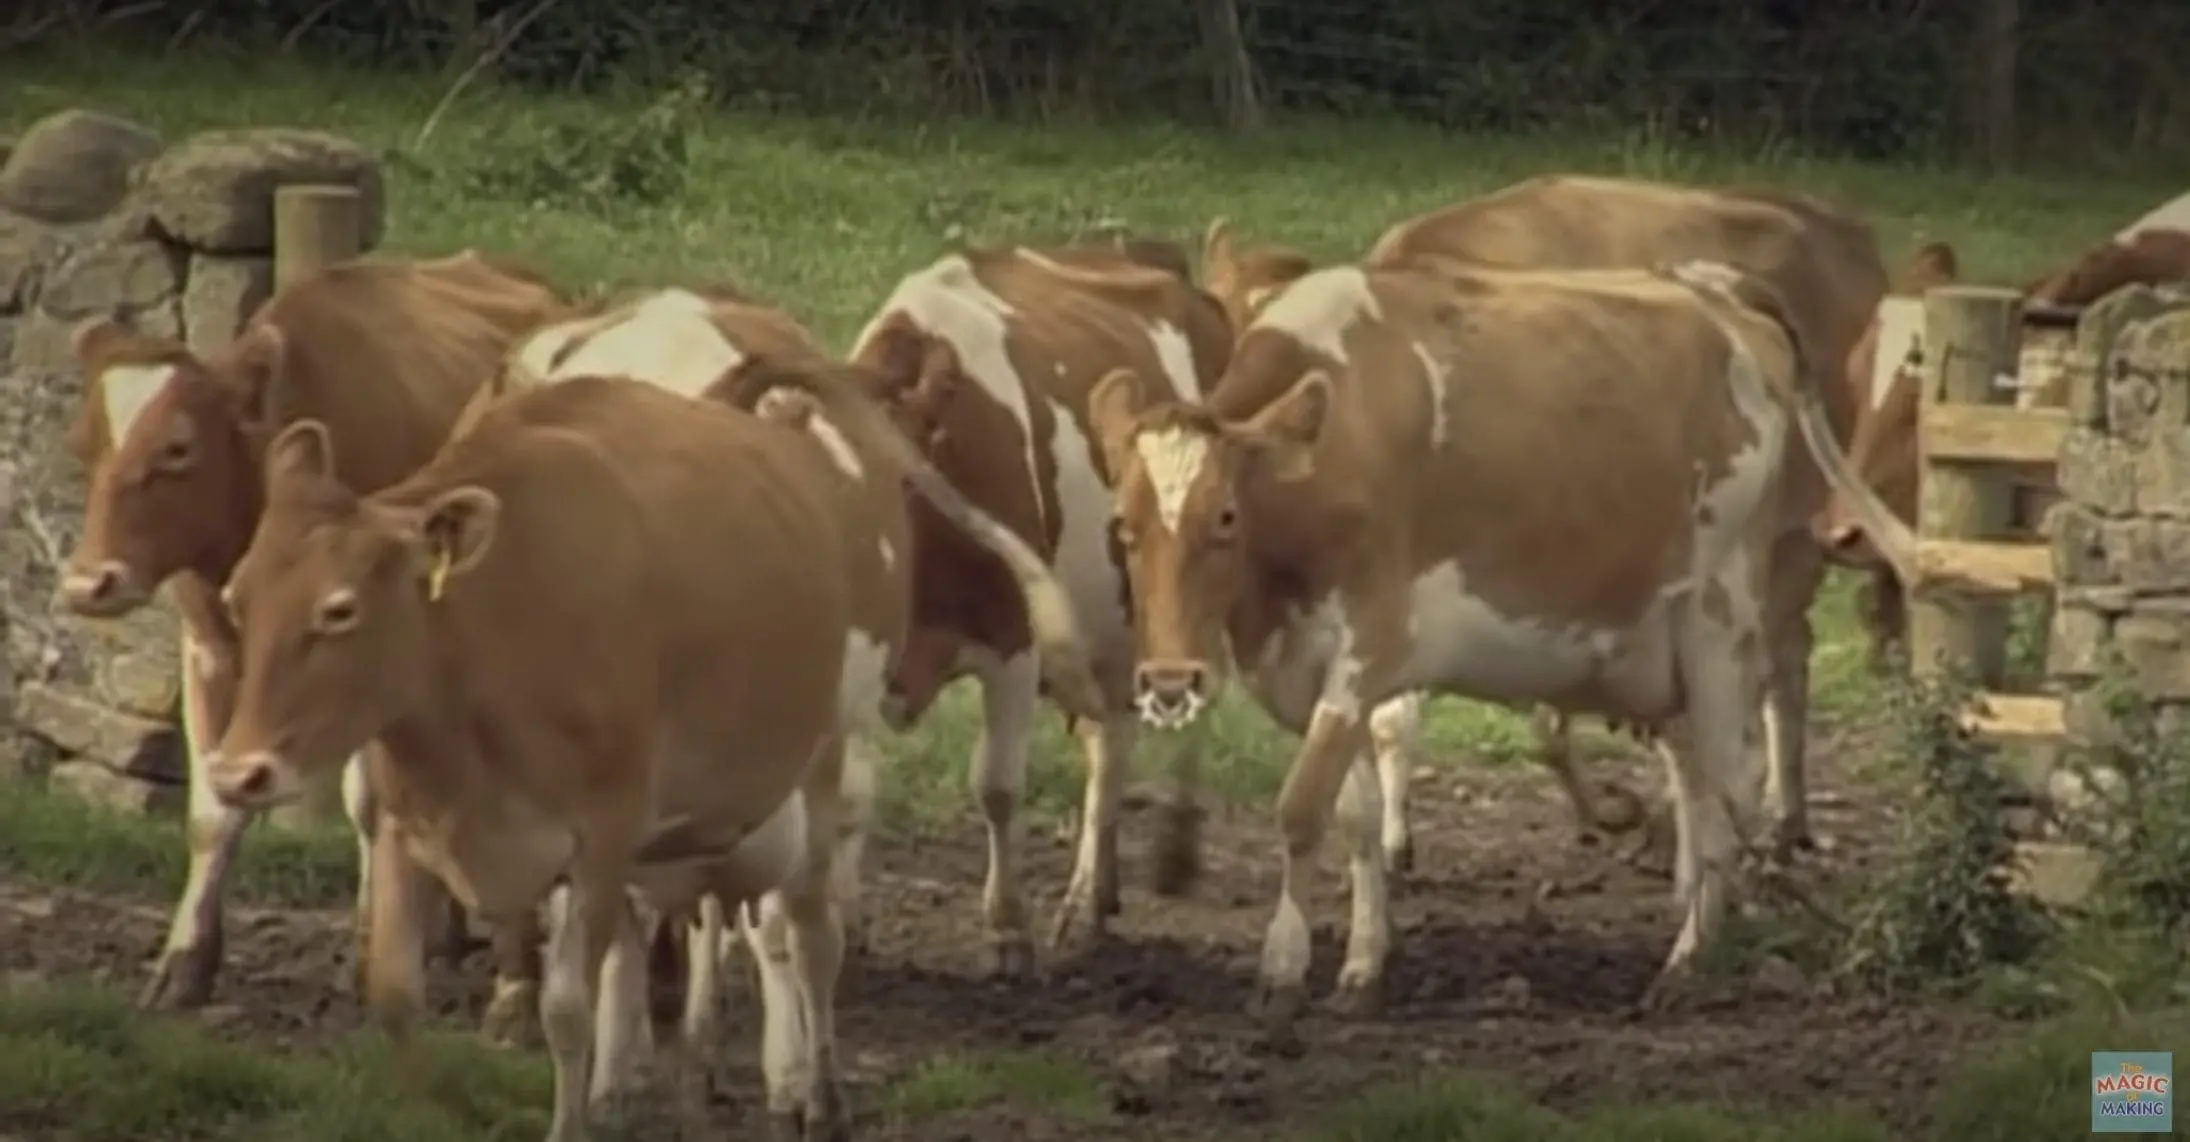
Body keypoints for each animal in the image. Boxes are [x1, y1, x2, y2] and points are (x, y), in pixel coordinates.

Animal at [54, 250, 568, 1033]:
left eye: (177, 447)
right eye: (82, 448)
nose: (90, 582)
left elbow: (368, 804)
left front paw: (373, 947)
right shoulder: (210, 650)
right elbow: (212, 815)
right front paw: (184, 964)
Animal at [197, 363, 1099, 1141]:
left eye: (340, 610)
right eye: (239, 598)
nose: (239, 772)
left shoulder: (601, 837)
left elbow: (568, 1009)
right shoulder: (405, 829)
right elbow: (397, 996)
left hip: (820, 772)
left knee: (808, 935)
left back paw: (816, 1096)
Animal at [1083, 258, 1912, 1028]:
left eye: (1225, 517)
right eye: (1121, 524)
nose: (1169, 681)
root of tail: (1724, 299)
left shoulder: (1364, 650)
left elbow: (1299, 809)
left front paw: (1282, 969)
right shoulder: (1307, 673)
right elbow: (1353, 818)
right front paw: (1361, 967)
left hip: (1717, 619)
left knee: (1724, 787)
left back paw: (1691, 957)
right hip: (1659, 649)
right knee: (1701, 780)